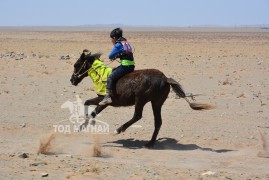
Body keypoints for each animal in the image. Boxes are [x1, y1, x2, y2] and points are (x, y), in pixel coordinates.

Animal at [70, 49, 213, 148]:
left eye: (76, 65)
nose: (72, 80)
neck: (101, 75)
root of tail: (165, 78)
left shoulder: (105, 101)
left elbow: (92, 108)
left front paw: (84, 125)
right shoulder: (102, 101)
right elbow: (89, 105)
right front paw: (83, 126)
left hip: (141, 100)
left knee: (138, 116)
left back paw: (118, 130)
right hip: (156, 102)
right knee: (158, 121)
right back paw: (150, 143)